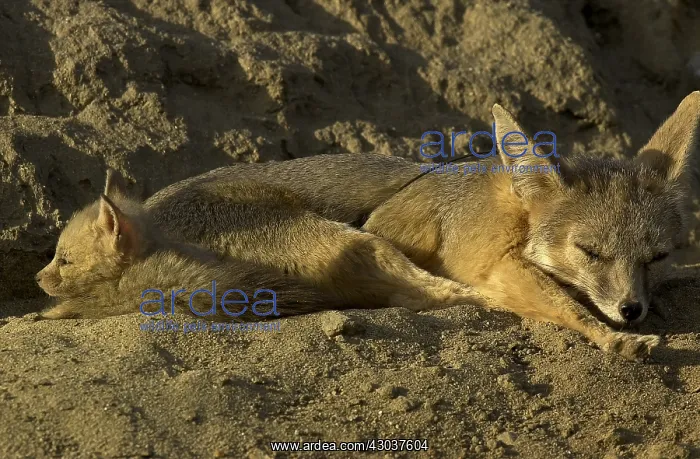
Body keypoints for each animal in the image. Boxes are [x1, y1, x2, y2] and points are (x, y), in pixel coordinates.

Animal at [140, 91, 700, 360]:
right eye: (591, 252)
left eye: (658, 257)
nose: (631, 310)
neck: (508, 211)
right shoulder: (479, 259)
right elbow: (563, 302)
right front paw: (610, 338)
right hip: (355, 242)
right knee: (426, 295)